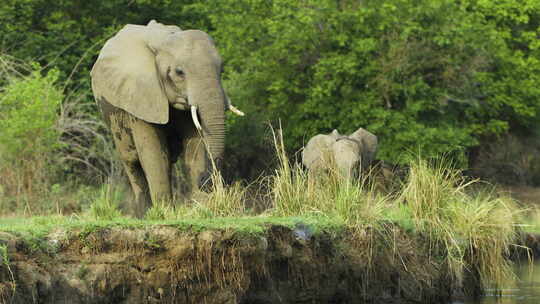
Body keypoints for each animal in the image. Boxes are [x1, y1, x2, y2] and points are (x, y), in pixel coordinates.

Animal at [92, 20, 244, 216]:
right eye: (179, 72)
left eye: (222, 69)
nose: (205, 181)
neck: (163, 41)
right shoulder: (142, 94)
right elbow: (153, 154)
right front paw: (164, 213)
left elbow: (194, 147)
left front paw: (200, 209)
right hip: (112, 116)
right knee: (132, 162)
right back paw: (144, 213)